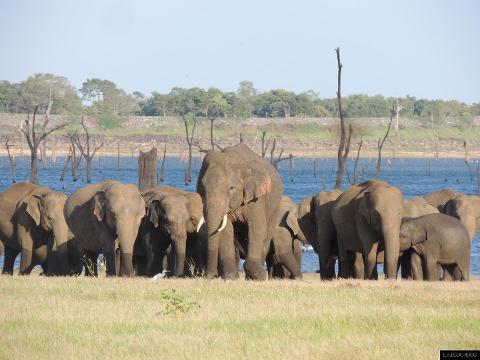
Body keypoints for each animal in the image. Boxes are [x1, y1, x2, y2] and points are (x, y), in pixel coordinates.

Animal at [196, 142, 284, 280]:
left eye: (231, 188)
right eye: (202, 187)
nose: (208, 276)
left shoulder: (256, 197)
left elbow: (257, 227)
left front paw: (260, 276)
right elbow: (225, 230)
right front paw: (230, 277)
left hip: (275, 208)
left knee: (266, 235)